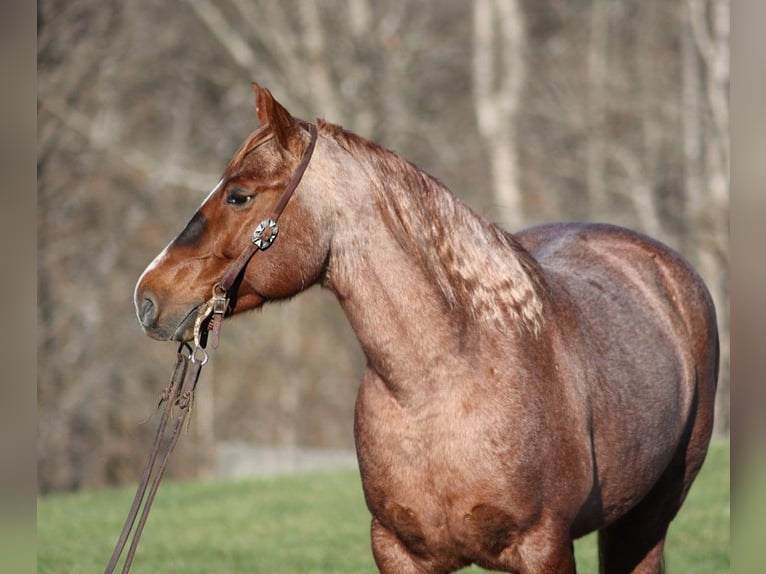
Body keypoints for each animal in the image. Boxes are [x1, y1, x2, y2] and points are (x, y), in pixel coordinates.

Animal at [134, 82, 720, 574]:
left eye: (239, 195)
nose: (147, 297)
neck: (440, 386)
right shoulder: (398, 552)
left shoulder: (544, 548)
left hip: (647, 519)